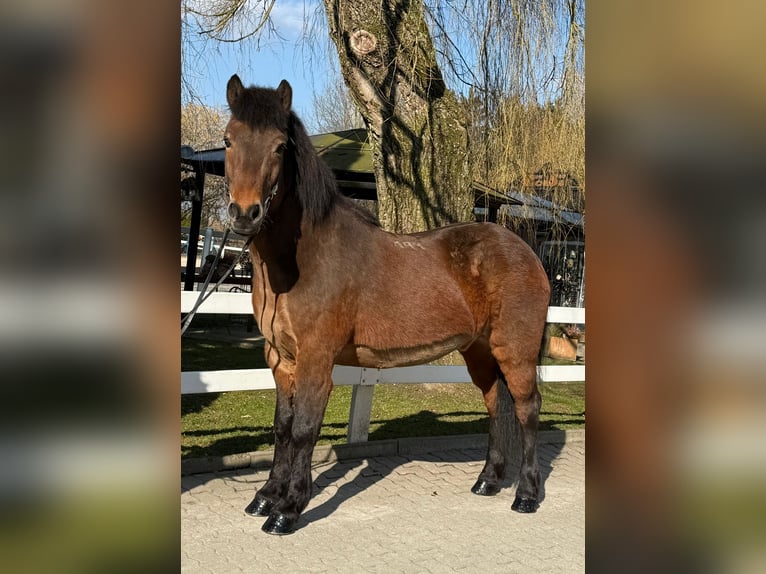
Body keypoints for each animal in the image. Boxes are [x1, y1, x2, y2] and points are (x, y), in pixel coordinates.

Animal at [223, 74, 551, 535]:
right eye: (228, 139)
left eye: (279, 147)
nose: (244, 214)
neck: (303, 259)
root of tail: (522, 248)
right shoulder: (280, 359)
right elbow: (282, 428)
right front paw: (265, 496)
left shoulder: (316, 359)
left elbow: (304, 430)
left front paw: (287, 510)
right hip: (480, 352)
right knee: (496, 406)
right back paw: (487, 481)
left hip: (515, 349)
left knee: (526, 409)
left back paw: (526, 495)